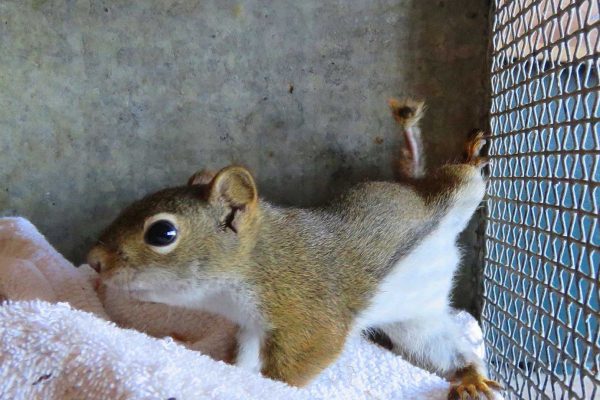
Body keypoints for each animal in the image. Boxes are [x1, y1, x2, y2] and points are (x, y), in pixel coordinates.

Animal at [86, 100, 502, 400]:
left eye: (162, 233)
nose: (94, 261)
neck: (262, 261)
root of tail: (411, 185)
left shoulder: (309, 314)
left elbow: (300, 363)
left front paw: (275, 387)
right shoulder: (253, 328)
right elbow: (244, 360)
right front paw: (237, 375)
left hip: (455, 193)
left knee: (463, 179)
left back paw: (469, 155)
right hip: (417, 325)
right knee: (452, 352)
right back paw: (471, 379)